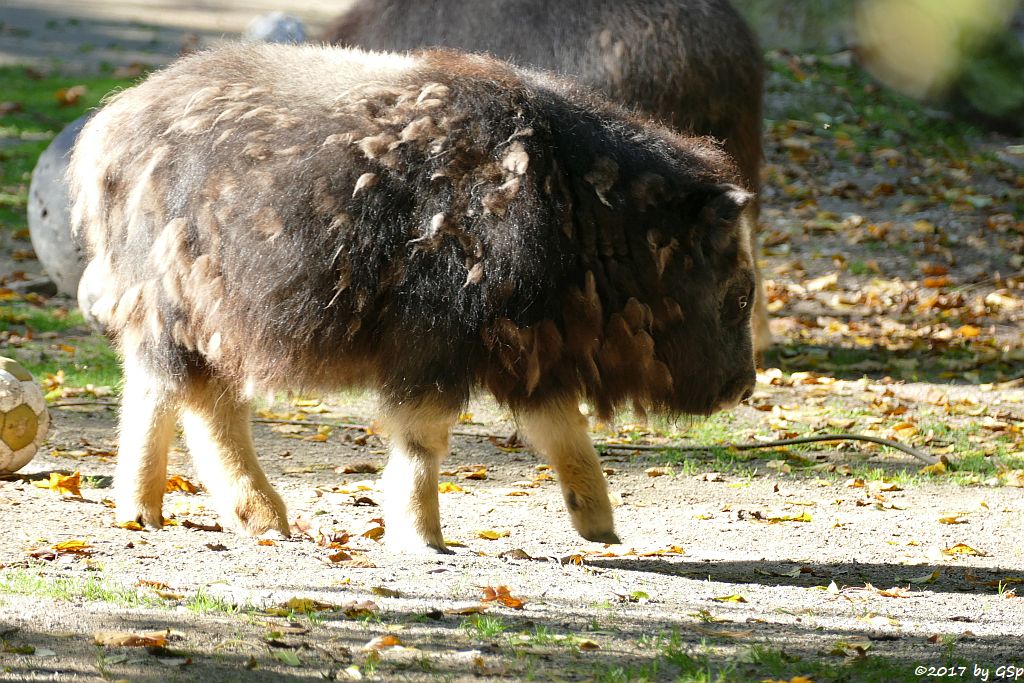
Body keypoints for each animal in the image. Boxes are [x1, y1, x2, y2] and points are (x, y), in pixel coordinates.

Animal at [72, 42, 757, 552]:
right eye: (739, 296)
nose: (745, 387)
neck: (577, 208)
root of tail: (112, 125)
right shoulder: (434, 343)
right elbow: (424, 439)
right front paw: (422, 534)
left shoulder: (531, 351)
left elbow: (565, 433)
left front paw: (601, 527)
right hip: (186, 314)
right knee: (190, 400)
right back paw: (227, 514)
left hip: (191, 322)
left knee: (177, 397)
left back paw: (176, 512)